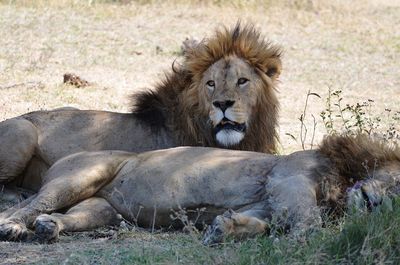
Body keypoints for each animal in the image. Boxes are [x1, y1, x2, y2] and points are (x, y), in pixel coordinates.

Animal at [0, 134, 400, 243]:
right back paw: (14, 227)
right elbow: (307, 216)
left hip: (103, 209)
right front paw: (307, 237)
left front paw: (223, 229)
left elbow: (258, 223)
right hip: (83, 175)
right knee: (29, 205)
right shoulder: (288, 178)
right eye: (398, 186)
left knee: (71, 216)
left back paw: (49, 228)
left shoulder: (266, 202)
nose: (379, 205)